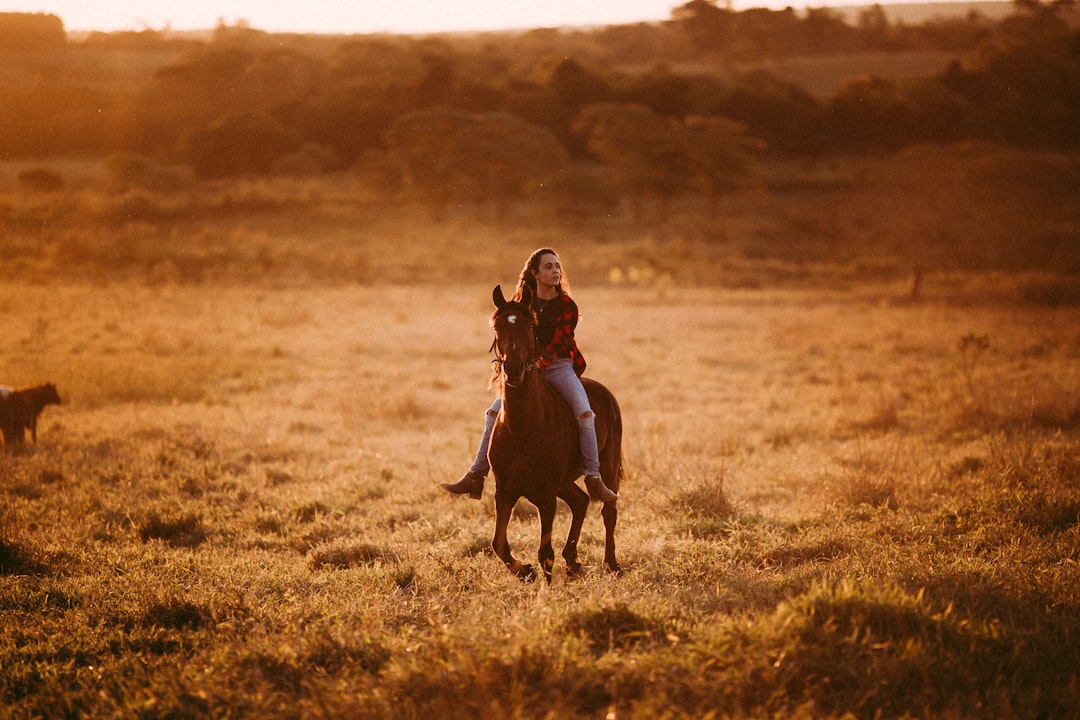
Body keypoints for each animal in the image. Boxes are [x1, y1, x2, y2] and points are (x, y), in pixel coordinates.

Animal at [486, 284, 622, 582]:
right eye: (497, 327)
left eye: (529, 325)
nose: (513, 369)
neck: (522, 429)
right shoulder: (504, 491)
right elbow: (498, 543)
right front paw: (524, 572)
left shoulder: (546, 495)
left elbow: (544, 554)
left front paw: (544, 587)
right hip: (564, 481)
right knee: (580, 502)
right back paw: (572, 561)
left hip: (607, 465)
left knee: (608, 510)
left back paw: (612, 564)